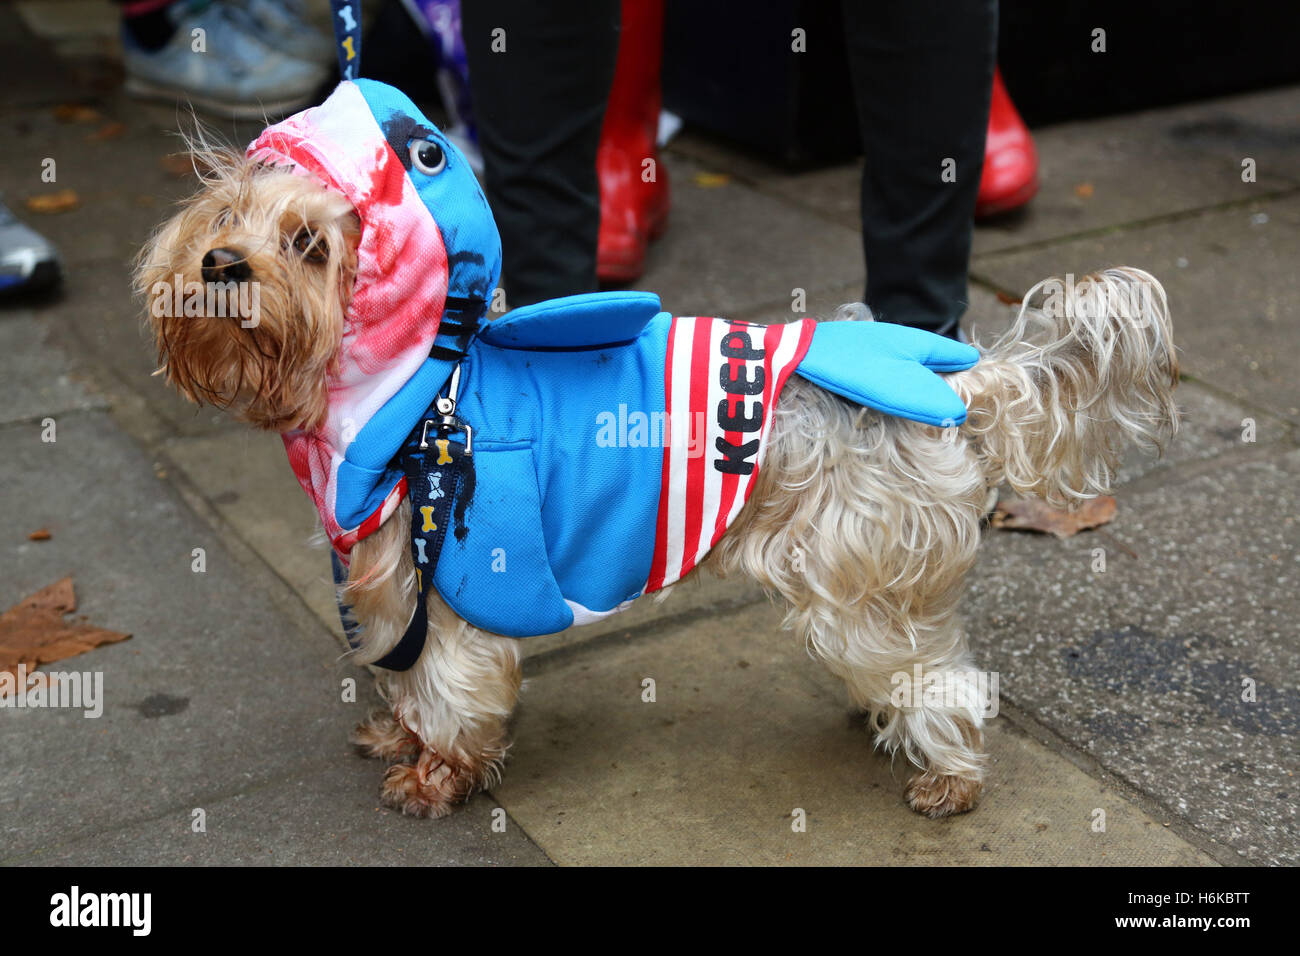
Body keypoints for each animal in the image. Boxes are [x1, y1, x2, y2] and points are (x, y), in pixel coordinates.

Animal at [139, 82, 1180, 816]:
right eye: (225, 219)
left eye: (310, 244)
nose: (219, 266)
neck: (423, 393)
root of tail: (957, 388)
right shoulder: (391, 578)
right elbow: (405, 677)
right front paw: (400, 741)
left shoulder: (454, 578)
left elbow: (451, 691)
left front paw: (437, 776)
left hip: (852, 584)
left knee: (944, 677)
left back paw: (947, 776)